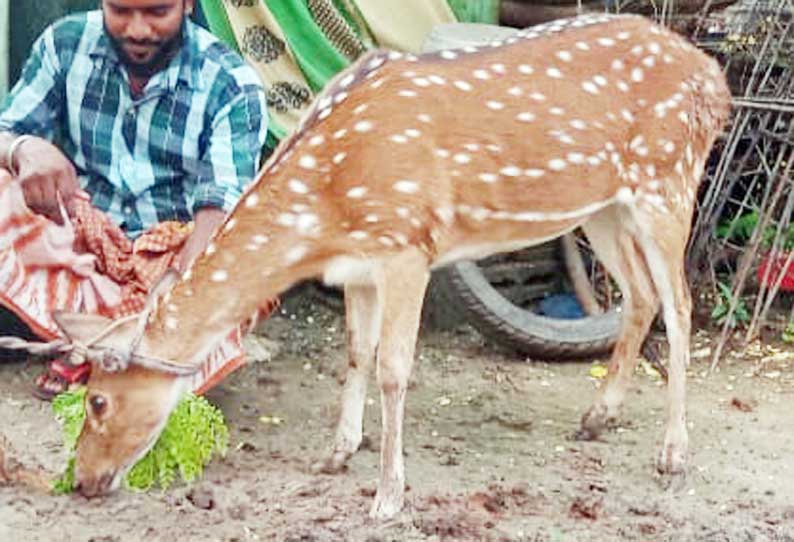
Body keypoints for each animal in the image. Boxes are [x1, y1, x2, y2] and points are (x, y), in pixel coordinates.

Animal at [54, 14, 732, 520]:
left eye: (98, 401)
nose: (83, 480)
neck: (322, 210)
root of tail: (716, 79)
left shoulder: (408, 242)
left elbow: (394, 370)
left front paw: (387, 495)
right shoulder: (356, 265)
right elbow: (356, 352)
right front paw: (337, 453)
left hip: (669, 181)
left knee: (681, 305)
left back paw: (673, 454)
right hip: (602, 206)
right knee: (641, 295)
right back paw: (597, 418)